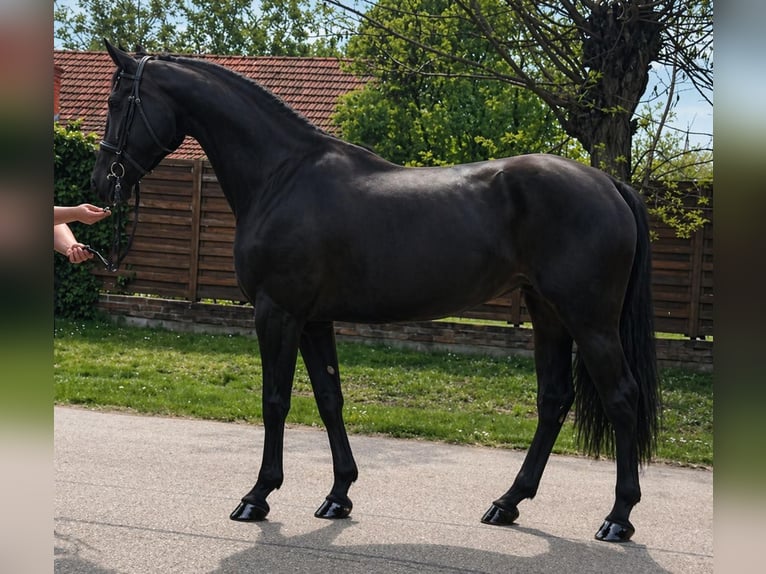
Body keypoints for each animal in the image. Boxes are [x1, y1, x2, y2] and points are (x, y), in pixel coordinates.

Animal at [91, 41, 659, 543]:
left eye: (118, 102)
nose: (100, 182)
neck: (282, 176)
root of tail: (608, 184)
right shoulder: (313, 319)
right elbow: (329, 398)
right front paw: (338, 495)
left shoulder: (277, 313)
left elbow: (275, 399)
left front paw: (258, 496)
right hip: (549, 315)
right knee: (554, 399)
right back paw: (507, 503)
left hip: (591, 321)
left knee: (622, 398)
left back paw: (618, 518)